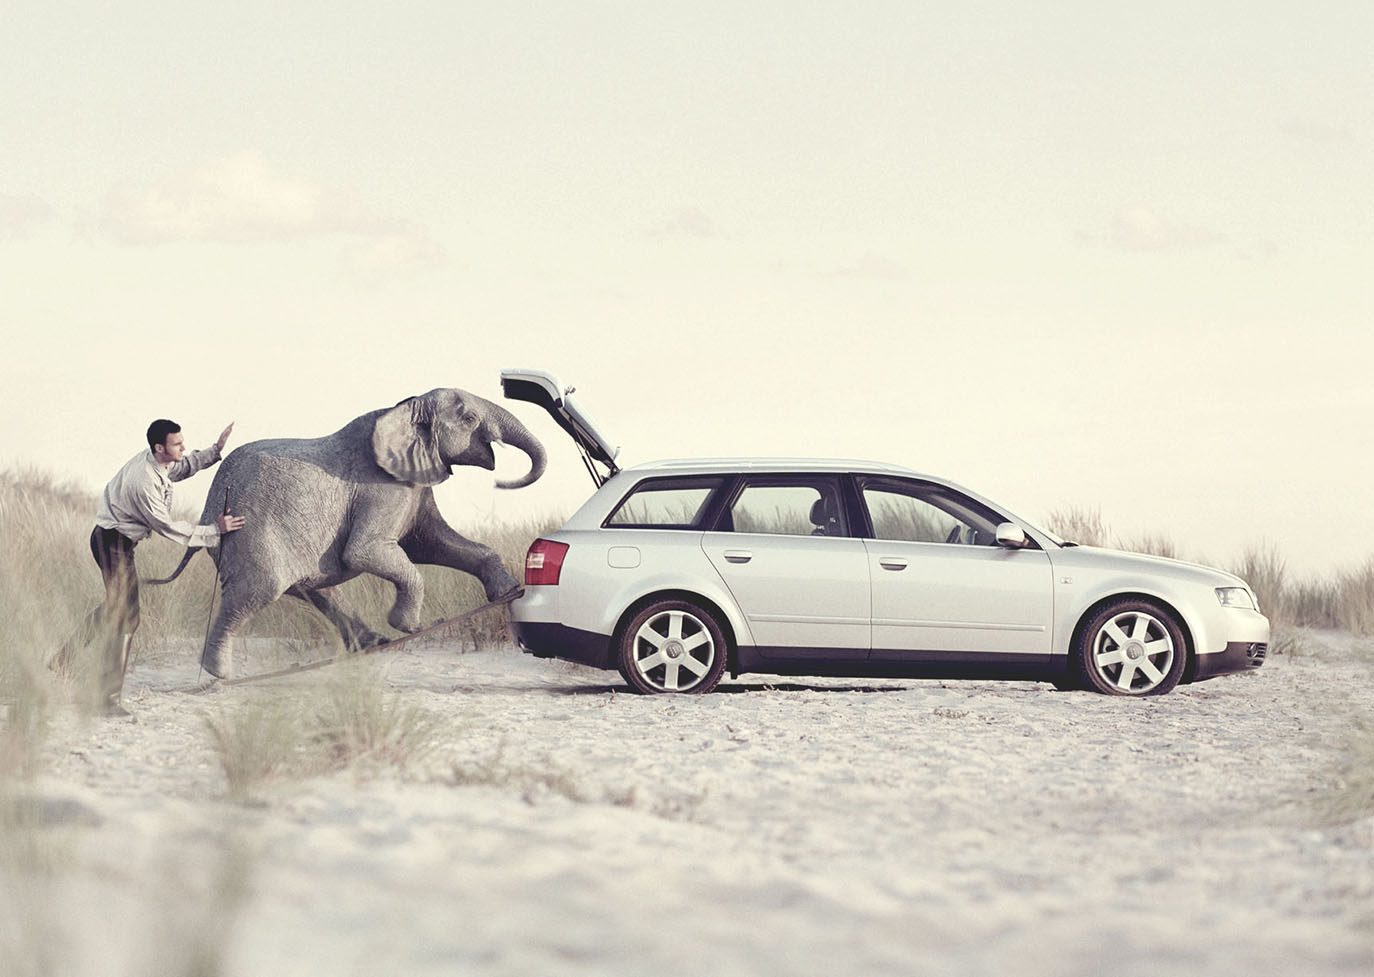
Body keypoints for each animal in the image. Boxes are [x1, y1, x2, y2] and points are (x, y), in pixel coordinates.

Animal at [181, 387, 546, 679]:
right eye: (469, 418)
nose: (500, 482)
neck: (407, 408)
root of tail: (208, 507)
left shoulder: (413, 483)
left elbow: (432, 543)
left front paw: (508, 590)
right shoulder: (381, 487)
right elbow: (365, 551)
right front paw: (411, 627)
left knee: (315, 589)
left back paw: (373, 643)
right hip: (250, 534)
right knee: (256, 592)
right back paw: (220, 674)